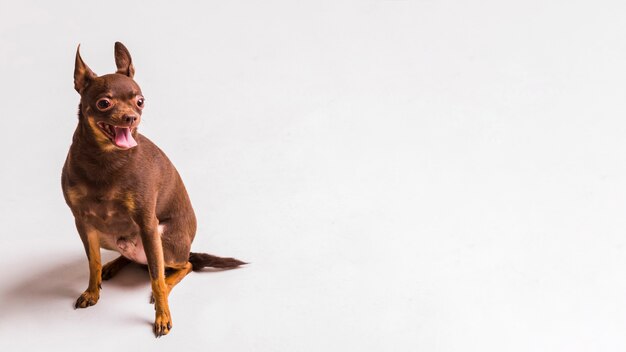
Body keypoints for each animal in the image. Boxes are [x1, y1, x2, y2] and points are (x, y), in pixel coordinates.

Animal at [62, 42, 244, 336]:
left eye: (140, 101)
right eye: (104, 103)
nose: (131, 117)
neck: (105, 160)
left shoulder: (147, 223)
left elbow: (157, 278)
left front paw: (162, 316)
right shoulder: (83, 223)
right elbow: (93, 262)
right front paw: (92, 291)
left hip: (163, 241)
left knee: (183, 264)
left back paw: (167, 285)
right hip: (109, 237)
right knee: (137, 260)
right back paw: (113, 266)